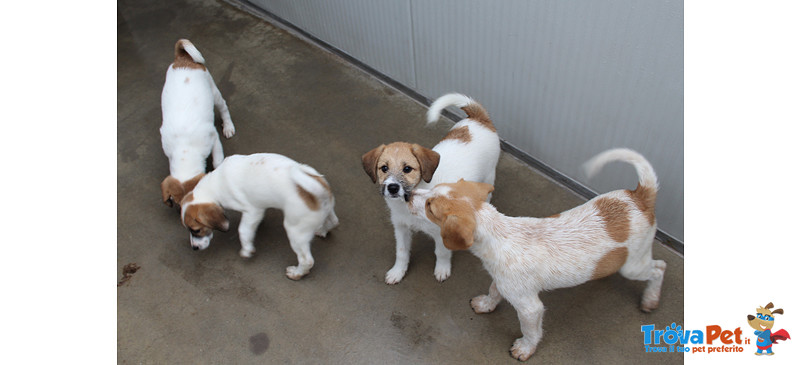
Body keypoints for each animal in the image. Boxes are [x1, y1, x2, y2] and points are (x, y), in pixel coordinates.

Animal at [160, 39, 236, 208]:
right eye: (179, 204)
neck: (184, 147)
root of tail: (183, 59)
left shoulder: (213, 138)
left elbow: (217, 160)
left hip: (213, 91)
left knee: (224, 107)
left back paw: (228, 126)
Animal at [180, 152, 340, 280]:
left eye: (196, 230)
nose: (194, 248)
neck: (216, 184)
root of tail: (316, 189)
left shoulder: (252, 211)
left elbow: (243, 231)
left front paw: (247, 250)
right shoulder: (258, 210)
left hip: (295, 231)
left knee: (307, 260)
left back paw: (297, 273)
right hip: (328, 211)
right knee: (334, 222)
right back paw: (322, 231)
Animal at [362, 92, 500, 282]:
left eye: (407, 169)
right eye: (384, 168)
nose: (392, 188)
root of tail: (479, 119)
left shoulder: (441, 231)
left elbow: (441, 252)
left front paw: (442, 269)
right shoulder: (401, 227)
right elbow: (401, 252)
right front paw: (398, 271)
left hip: (489, 176)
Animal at [410, 147, 664, 358]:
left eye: (430, 207)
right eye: (431, 190)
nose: (406, 195)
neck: (498, 233)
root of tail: (641, 195)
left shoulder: (530, 307)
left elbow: (530, 331)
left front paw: (525, 348)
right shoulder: (503, 282)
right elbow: (493, 291)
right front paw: (486, 305)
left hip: (634, 267)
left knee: (660, 268)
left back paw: (650, 299)